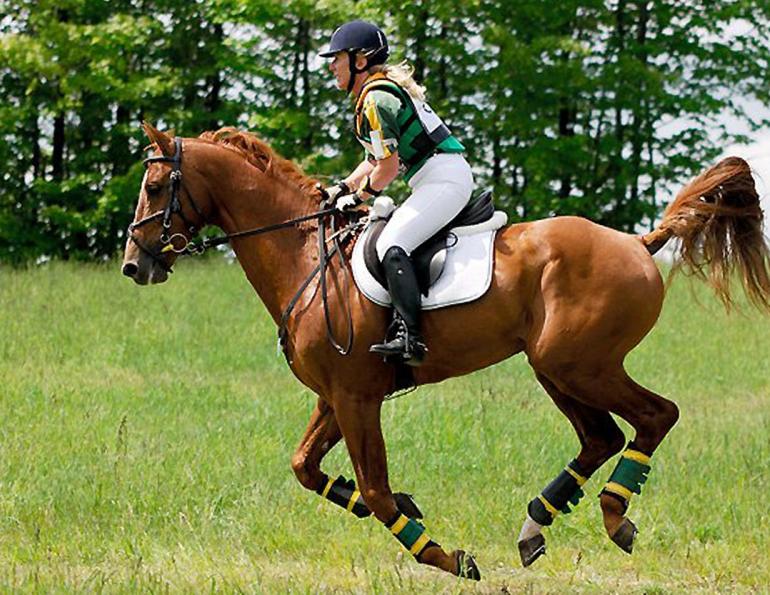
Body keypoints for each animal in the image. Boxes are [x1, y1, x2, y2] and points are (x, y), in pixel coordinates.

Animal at [122, 122, 770, 580]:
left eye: (154, 188)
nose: (135, 265)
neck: (306, 255)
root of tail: (639, 242)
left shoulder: (356, 397)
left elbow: (376, 490)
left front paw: (446, 555)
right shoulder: (337, 396)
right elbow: (307, 468)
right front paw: (398, 504)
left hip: (581, 365)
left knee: (655, 417)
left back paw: (614, 515)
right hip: (555, 368)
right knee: (601, 437)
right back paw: (536, 525)